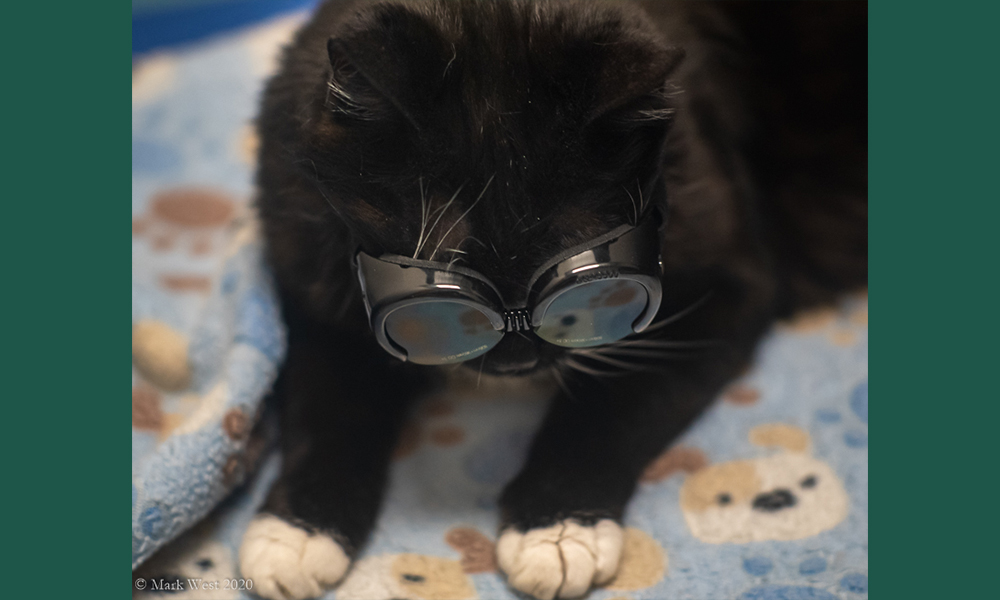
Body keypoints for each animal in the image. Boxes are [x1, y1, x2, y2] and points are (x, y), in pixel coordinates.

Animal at [240, 2, 868, 596]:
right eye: (438, 307)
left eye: (590, 297)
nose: (515, 363)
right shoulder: (310, 282)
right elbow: (328, 402)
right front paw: (296, 535)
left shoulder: (729, 282)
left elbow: (615, 400)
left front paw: (557, 530)